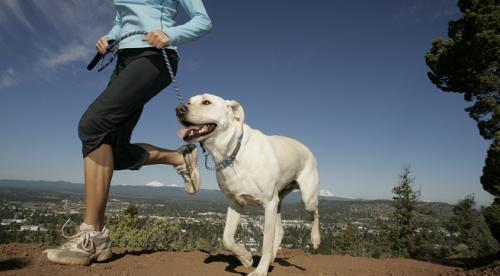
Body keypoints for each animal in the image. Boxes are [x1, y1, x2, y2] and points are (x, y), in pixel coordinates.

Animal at [176, 94, 320, 274]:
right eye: (189, 102)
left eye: (206, 102)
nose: (179, 109)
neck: (232, 153)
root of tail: (307, 148)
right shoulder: (235, 202)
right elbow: (227, 238)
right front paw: (246, 258)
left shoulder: (269, 204)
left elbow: (266, 243)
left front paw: (260, 271)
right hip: (278, 202)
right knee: (280, 230)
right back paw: (271, 259)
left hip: (307, 198)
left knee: (315, 213)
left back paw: (315, 239)